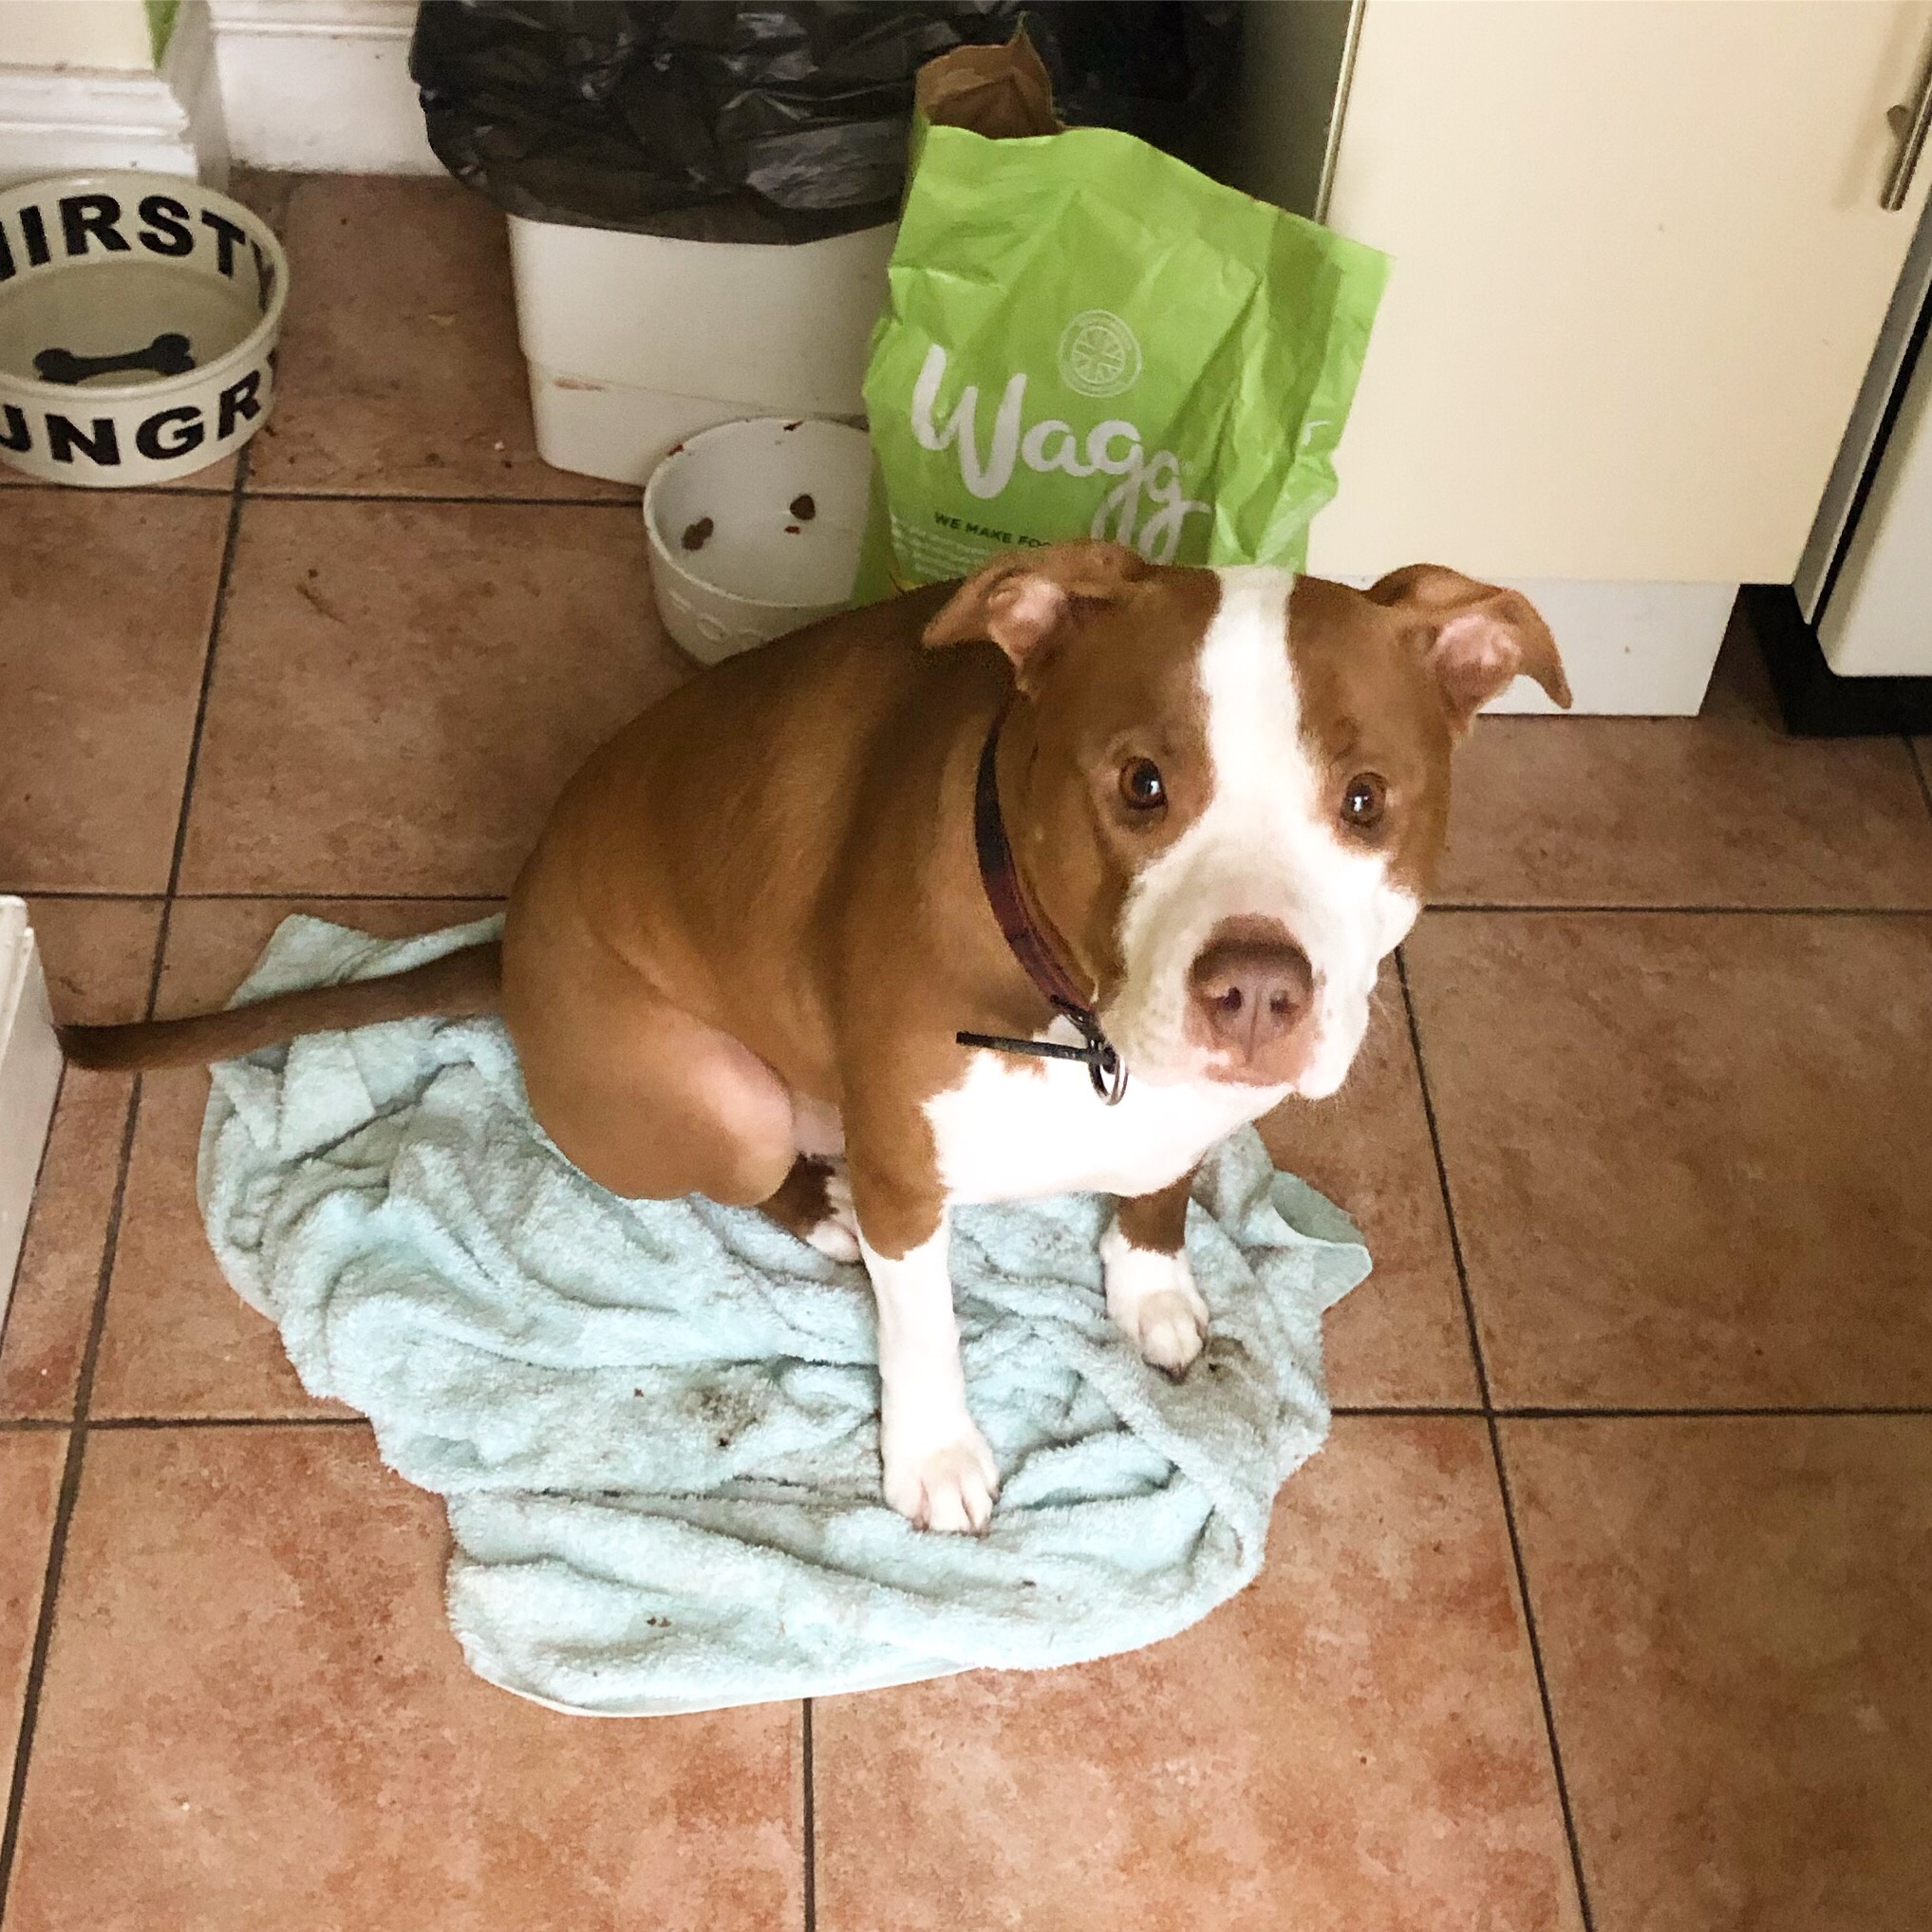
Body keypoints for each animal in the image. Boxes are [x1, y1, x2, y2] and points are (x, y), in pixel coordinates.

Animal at [63, 541, 1569, 1532]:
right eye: (1142, 784)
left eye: (1365, 798)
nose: (1254, 989)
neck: (1079, 1017)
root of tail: (506, 944)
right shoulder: (912, 1175)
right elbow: (925, 1328)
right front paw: (937, 1455)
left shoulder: (1184, 1111)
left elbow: (1155, 1191)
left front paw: (1149, 1285)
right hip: (718, 1101)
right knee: (760, 1174)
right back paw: (819, 1209)